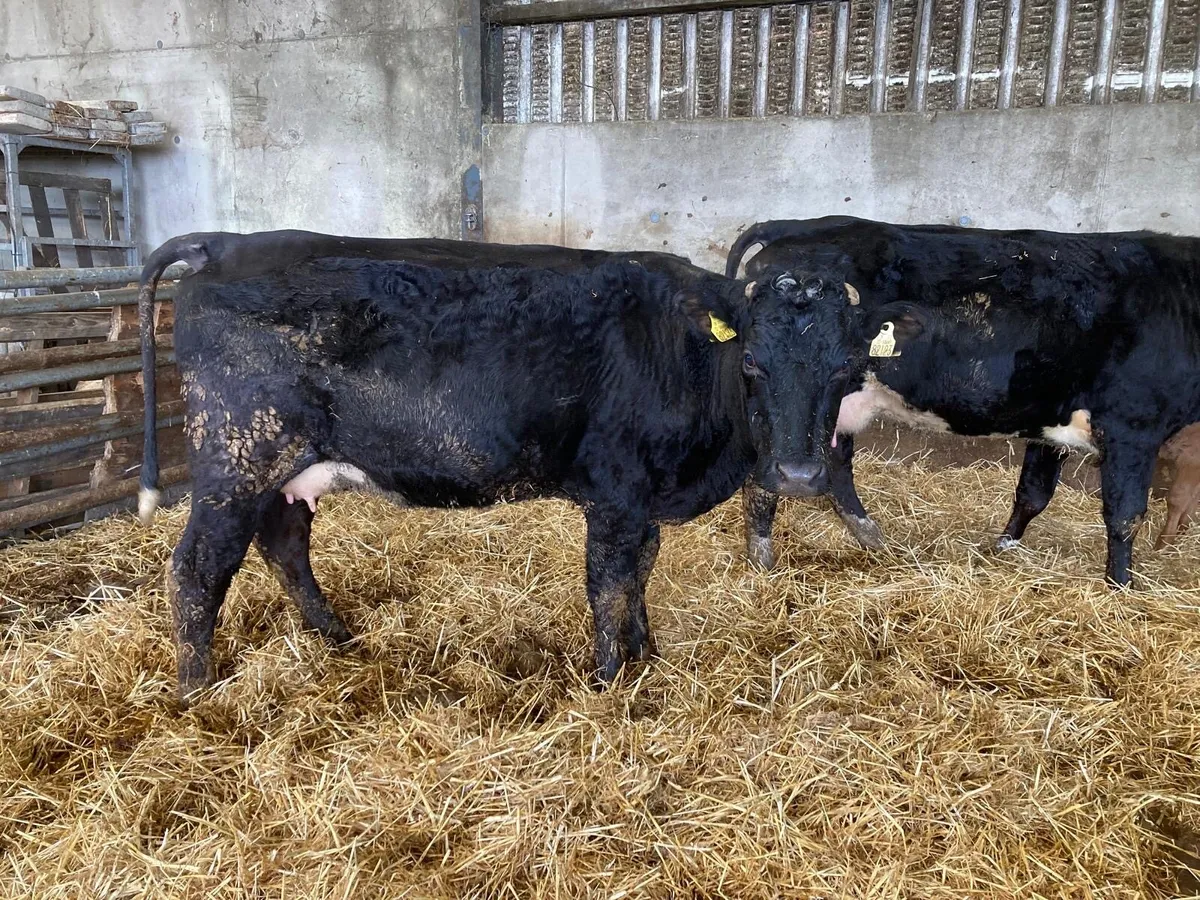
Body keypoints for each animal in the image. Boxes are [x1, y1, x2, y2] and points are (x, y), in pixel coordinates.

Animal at [137, 229, 839, 705]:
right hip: (237, 457)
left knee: (284, 543)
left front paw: (648, 655)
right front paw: (610, 684)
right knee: (198, 569)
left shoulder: (641, 500)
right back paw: (197, 695)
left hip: (285, 469)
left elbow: (641, 572)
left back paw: (339, 639)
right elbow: (609, 584)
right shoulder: (615, 492)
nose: (800, 474)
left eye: (846, 364)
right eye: (752, 362)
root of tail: (222, 244)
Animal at [724, 215, 1200, 586]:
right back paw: (763, 563)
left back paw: (872, 537)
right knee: (765, 480)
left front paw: (1003, 547)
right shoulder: (1132, 428)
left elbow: (1033, 493)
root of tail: (794, 226)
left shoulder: (1051, 425)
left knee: (835, 467)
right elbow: (1124, 516)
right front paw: (1121, 586)